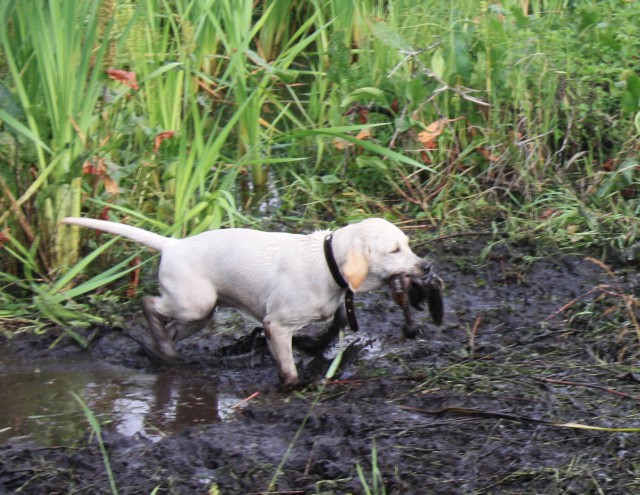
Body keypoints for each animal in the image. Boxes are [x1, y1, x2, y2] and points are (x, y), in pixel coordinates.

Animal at [63, 219, 436, 390]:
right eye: (394, 250)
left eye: (407, 244)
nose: (427, 267)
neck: (326, 260)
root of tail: (173, 244)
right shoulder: (277, 325)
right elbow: (287, 365)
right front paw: (292, 385)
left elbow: (331, 328)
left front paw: (318, 347)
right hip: (195, 303)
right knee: (148, 303)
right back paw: (161, 345)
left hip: (201, 313)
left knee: (168, 326)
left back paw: (161, 348)